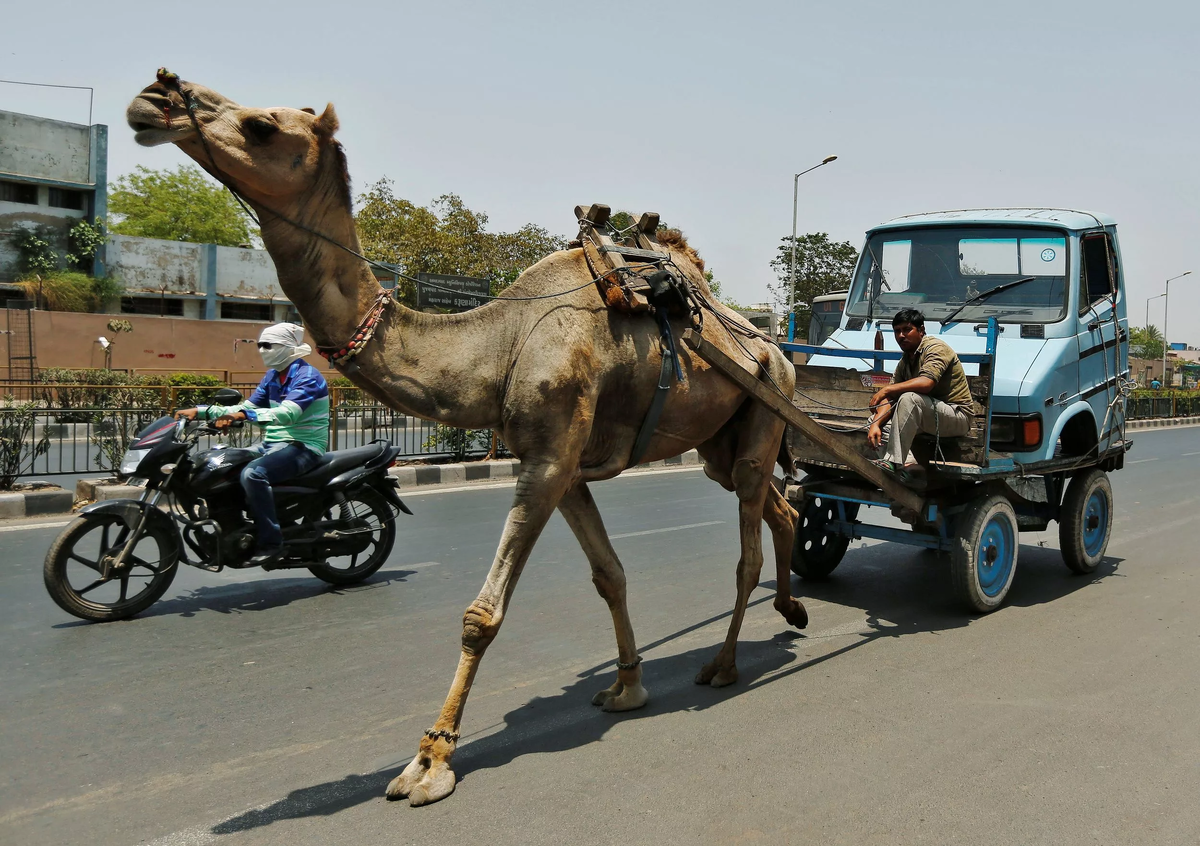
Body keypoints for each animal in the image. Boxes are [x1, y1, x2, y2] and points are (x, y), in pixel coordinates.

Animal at [126, 72, 806, 806]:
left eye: (261, 126)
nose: (155, 97)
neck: (498, 346)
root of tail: (777, 348)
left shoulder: (547, 459)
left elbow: (483, 614)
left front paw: (430, 759)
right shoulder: (562, 465)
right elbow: (610, 575)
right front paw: (627, 687)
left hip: (767, 406)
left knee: (748, 547)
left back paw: (726, 661)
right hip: (718, 442)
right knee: (779, 505)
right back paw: (792, 609)